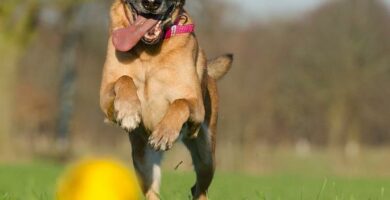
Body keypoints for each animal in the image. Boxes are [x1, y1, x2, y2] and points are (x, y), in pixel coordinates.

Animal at [100, 0, 232, 199]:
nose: (151, 4)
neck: (149, 52)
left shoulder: (195, 105)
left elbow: (180, 103)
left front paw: (164, 134)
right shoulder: (105, 98)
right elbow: (124, 78)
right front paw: (129, 112)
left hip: (206, 157)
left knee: (200, 189)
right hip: (143, 161)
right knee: (154, 192)